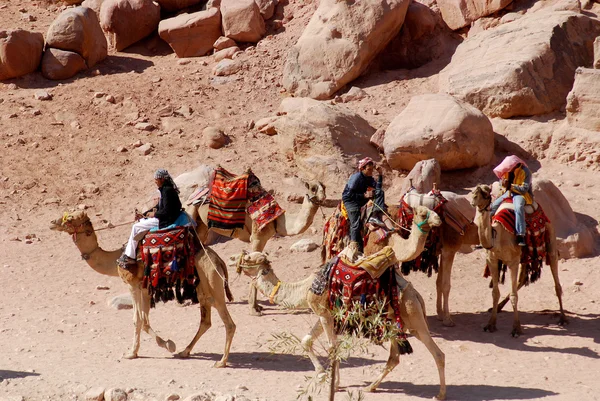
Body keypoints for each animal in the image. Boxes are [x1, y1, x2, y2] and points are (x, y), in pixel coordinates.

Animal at [49, 209, 237, 366]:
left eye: (70, 217)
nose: (52, 222)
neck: (116, 257)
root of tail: (219, 261)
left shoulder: (133, 285)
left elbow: (137, 319)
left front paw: (135, 352)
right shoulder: (145, 288)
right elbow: (144, 321)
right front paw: (166, 345)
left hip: (213, 282)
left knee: (229, 323)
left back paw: (221, 362)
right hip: (202, 288)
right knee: (206, 321)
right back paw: (185, 351)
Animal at [188, 180, 328, 314]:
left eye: (324, 187)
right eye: (313, 188)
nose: (323, 197)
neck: (277, 220)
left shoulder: (263, 239)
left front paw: (257, 306)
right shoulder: (257, 237)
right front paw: (254, 310)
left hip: (202, 226)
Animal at [234, 241, 446, 396]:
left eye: (249, 257)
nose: (234, 257)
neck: (304, 288)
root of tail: (416, 295)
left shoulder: (322, 312)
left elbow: (331, 347)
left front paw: (331, 382)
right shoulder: (326, 315)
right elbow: (307, 341)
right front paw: (326, 377)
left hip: (414, 319)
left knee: (438, 354)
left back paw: (440, 394)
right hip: (394, 324)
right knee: (394, 357)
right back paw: (370, 387)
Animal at [468, 186, 568, 336]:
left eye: (486, 194)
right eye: (474, 191)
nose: (473, 200)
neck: (498, 236)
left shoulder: (513, 262)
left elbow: (514, 295)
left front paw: (516, 328)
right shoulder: (492, 260)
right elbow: (495, 293)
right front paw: (490, 324)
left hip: (550, 237)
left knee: (556, 280)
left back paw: (563, 318)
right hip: (525, 256)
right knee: (522, 280)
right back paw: (498, 307)